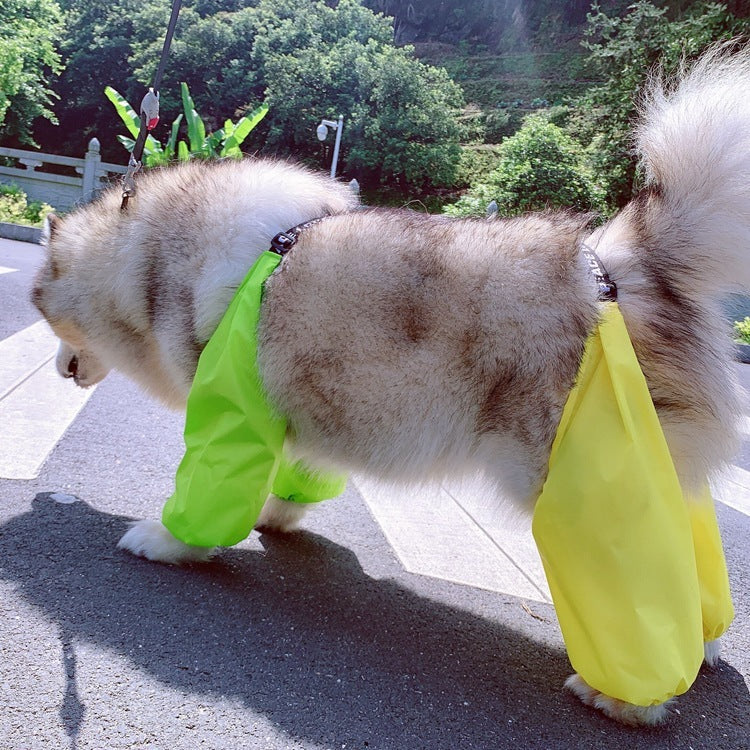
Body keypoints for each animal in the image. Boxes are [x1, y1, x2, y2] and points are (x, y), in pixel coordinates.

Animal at [29, 48, 750, 728]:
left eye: (46, 316)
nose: (60, 366)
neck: (149, 255)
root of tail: (611, 263)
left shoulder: (231, 405)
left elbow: (207, 491)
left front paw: (170, 542)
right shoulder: (305, 404)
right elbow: (295, 471)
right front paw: (277, 515)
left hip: (578, 485)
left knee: (634, 584)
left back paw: (631, 697)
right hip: (645, 467)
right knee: (686, 549)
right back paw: (705, 644)